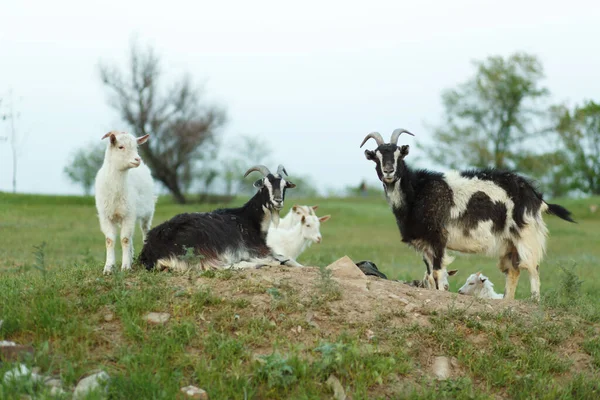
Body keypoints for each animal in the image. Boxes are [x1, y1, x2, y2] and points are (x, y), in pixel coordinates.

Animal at [138, 164, 302, 270]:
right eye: (265, 185)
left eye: (284, 186)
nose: (278, 201)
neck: (249, 219)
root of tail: (151, 250)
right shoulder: (256, 250)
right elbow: (281, 258)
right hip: (199, 249)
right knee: (219, 266)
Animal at [360, 128, 576, 300]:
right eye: (377, 157)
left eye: (399, 154)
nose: (389, 171)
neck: (417, 192)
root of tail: (536, 196)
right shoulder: (424, 244)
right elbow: (429, 275)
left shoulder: (438, 238)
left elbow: (437, 273)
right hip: (510, 243)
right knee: (514, 271)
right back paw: (507, 301)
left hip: (526, 235)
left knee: (532, 268)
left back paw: (534, 301)